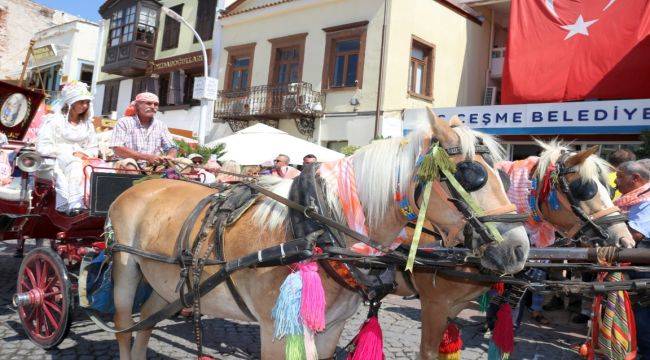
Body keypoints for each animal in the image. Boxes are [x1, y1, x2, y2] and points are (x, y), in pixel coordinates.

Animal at [107, 111, 532, 358]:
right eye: (471, 175)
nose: (519, 249)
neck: (314, 230)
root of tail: (147, 181)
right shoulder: (277, 332)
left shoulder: (330, 329)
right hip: (125, 269)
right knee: (126, 328)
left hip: (166, 284)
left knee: (146, 324)